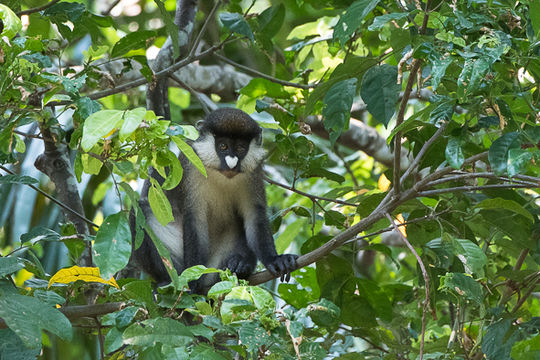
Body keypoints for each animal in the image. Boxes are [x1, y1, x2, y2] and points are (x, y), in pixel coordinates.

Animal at [131, 107, 300, 292]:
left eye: (240, 148)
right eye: (223, 146)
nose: (232, 162)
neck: (220, 174)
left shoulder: (253, 173)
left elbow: (254, 215)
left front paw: (274, 259)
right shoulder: (191, 167)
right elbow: (195, 219)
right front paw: (191, 282)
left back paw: (240, 266)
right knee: (139, 212)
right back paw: (167, 281)